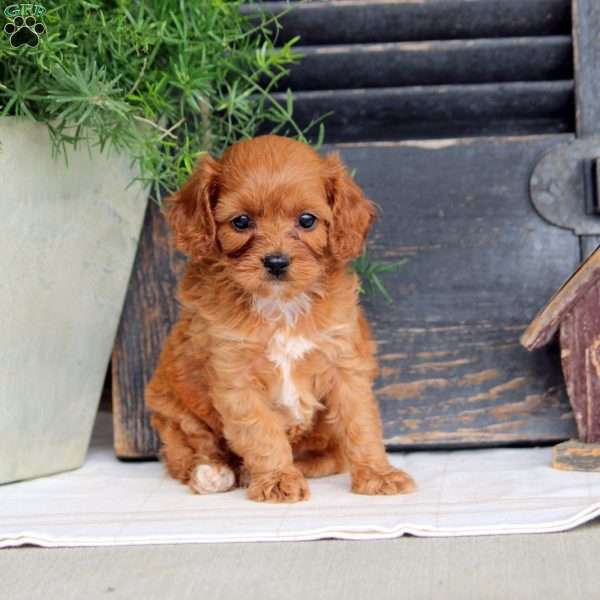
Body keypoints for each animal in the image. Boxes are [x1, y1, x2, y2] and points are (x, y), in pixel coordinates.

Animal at [146, 135, 418, 502]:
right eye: (241, 222)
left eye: (306, 220)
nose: (276, 262)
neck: (281, 305)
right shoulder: (235, 374)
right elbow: (260, 432)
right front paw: (276, 479)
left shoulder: (345, 364)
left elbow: (360, 424)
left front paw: (378, 475)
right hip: (172, 408)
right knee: (185, 452)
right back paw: (213, 472)